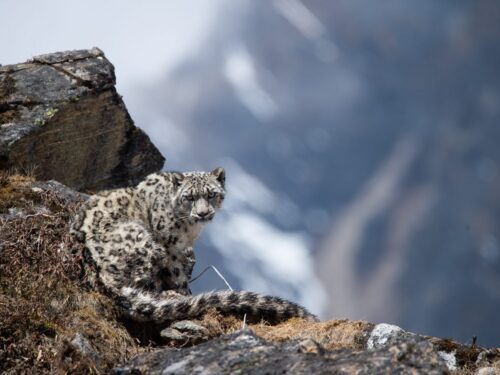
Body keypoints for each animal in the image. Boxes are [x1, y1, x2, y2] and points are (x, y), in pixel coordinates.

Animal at [70, 169, 316, 324]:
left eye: (211, 194)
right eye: (189, 197)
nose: (203, 213)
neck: (190, 230)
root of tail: (97, 272)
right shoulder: (169, 246)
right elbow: (178, 275)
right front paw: (185, 293)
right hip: (143, 242)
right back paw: (169, 295)